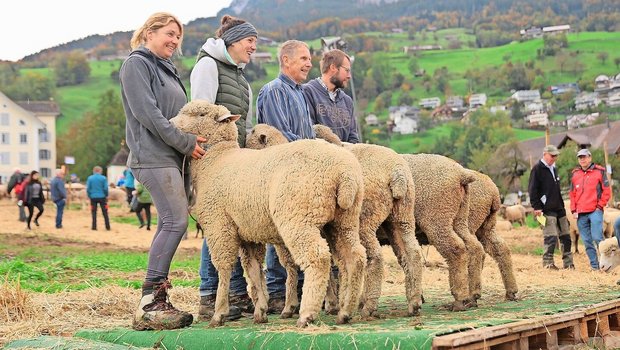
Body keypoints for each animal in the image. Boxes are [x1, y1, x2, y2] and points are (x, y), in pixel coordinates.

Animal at [170, 101, 368, 328]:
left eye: (201, 114)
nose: (170, 123)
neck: (215, 160)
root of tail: (345, 173)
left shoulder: (219, 226)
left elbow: (224, 268)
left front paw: (219, 313)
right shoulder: (247, 231)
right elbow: (254, 270)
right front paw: (261, 310)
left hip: (299, 218)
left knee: (318, 258)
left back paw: (307, 314)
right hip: (343, 219)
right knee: (355, 256)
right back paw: (345, 311)